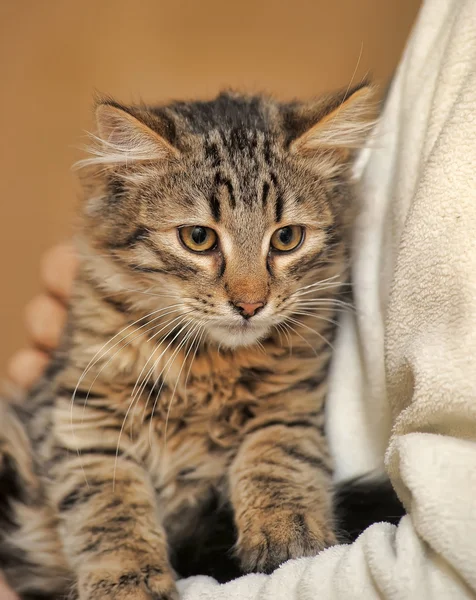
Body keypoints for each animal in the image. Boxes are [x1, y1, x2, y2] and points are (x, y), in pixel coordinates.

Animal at [0, 84, 402, 600]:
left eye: (287, 239)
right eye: (198, 238)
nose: (250, 305)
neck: (207, 364)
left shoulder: (290, 400)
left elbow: (278, 455)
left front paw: (286, 532)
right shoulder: (78, 414)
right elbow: (109, 506)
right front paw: (127, 580)